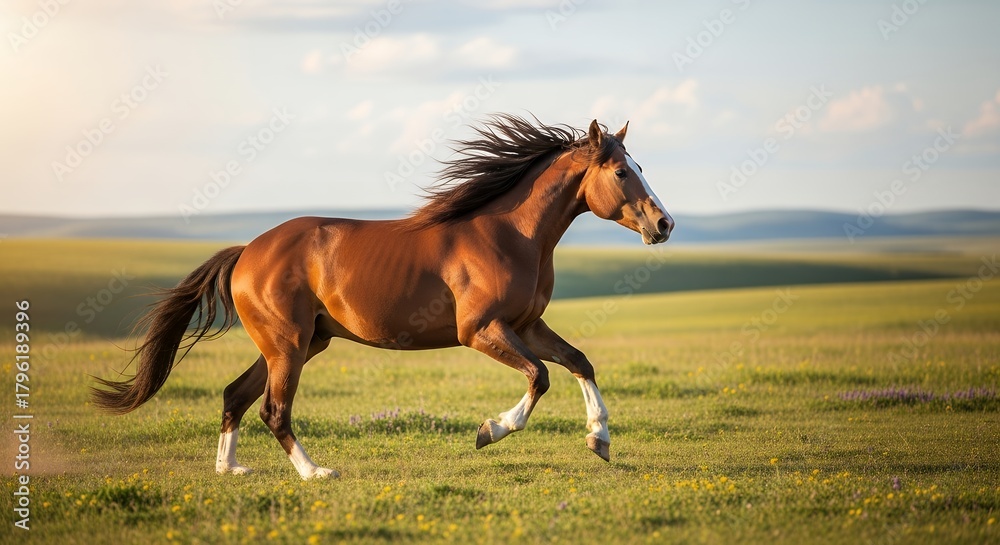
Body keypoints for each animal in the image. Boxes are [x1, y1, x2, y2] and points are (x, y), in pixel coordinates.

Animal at [92, 115, 674, 479]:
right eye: (622, 171)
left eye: (641, 168)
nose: (664, 224)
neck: (509, 233)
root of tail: (248, 253)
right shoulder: (480, 331)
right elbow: (540, 376)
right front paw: (490, 430)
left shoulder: (528, 324)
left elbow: (579, 362)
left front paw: (599, 438)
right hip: (288, 346)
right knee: (273, 410)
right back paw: (315, 472)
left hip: (299, 344)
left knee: (235, 395)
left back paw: (229, 468)